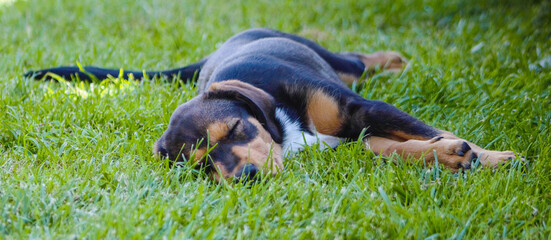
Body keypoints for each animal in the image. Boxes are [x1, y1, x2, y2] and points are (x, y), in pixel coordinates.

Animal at [24, 27, 516, 182]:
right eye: (202, 166)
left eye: (235, 130)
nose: (245, 177)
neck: (283, 129)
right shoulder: (351, 140)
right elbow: (390, 147)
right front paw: (451, 157)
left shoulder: (362, 110)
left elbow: (425, 129)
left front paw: (491, 157)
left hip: (336, 64)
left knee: (358, 60)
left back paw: (394, 61)